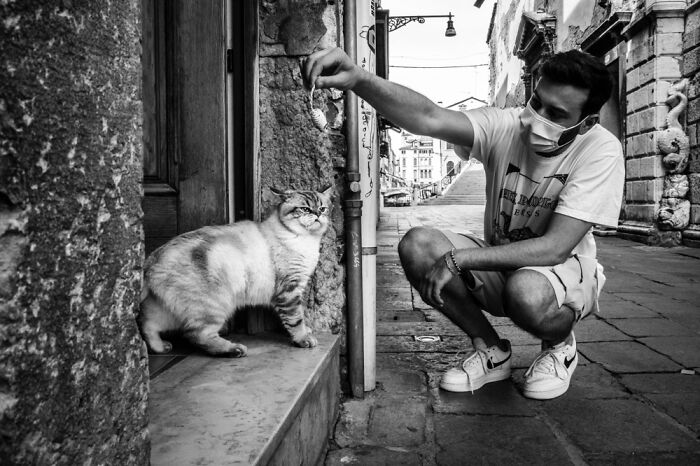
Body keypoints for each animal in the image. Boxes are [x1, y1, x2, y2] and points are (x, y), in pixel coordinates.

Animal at [139, 186, 334, 356]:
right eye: (305, 209)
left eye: (322, 208)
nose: (317, 214)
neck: (308, 241)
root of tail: (152, 259)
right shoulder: (289, 290)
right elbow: (296, 319)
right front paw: (303, 339)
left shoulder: (296, 287)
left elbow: (299, 318)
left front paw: (307, 331)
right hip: (215, 306)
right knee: (197, 335)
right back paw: (234, 349)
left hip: (168, 309)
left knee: (148, 324)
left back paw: (160, 347)